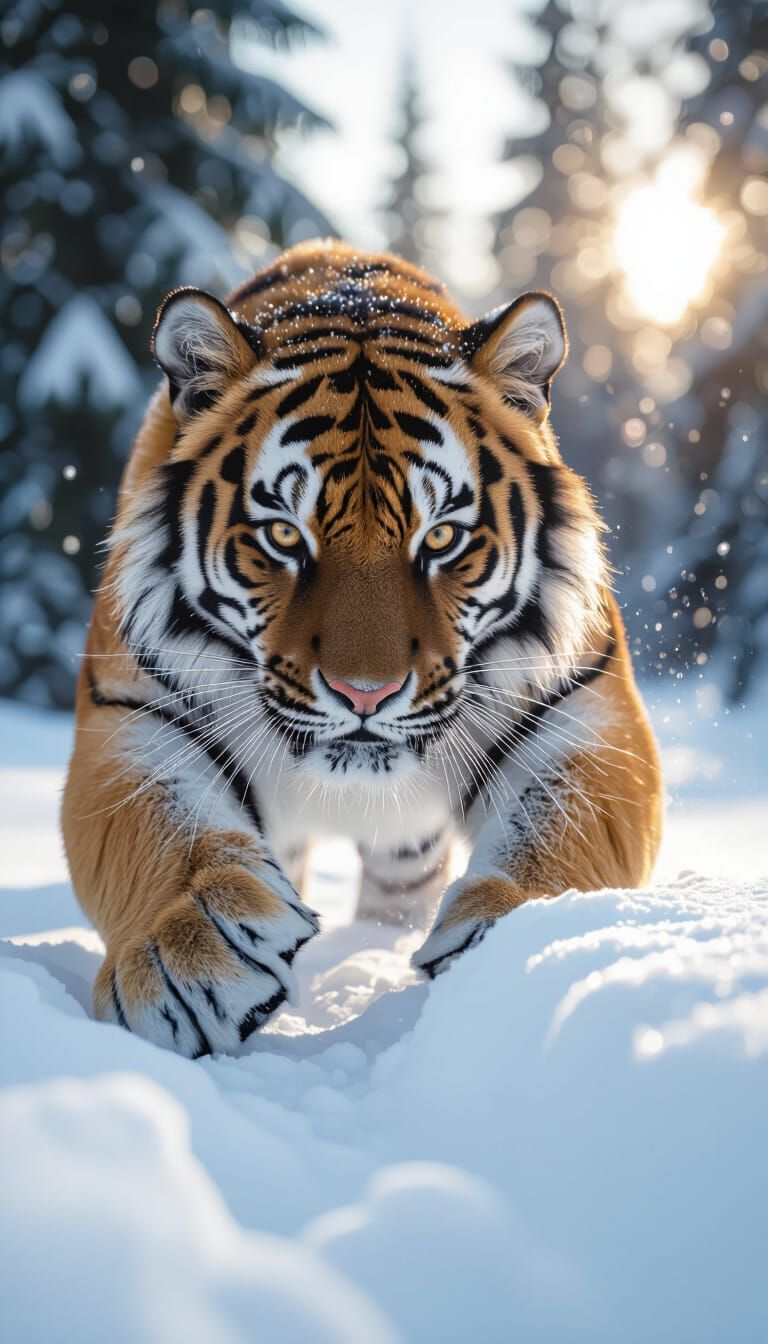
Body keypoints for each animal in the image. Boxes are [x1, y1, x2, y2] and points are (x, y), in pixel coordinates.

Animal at [61, 238, 662, 1058]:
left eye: (441, 538)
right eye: (284, 536)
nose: (364, 694)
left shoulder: (584, 705)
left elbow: (568, 833)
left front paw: (514, 945)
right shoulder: (127, 705)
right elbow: (156, 820)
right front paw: (188, 952)